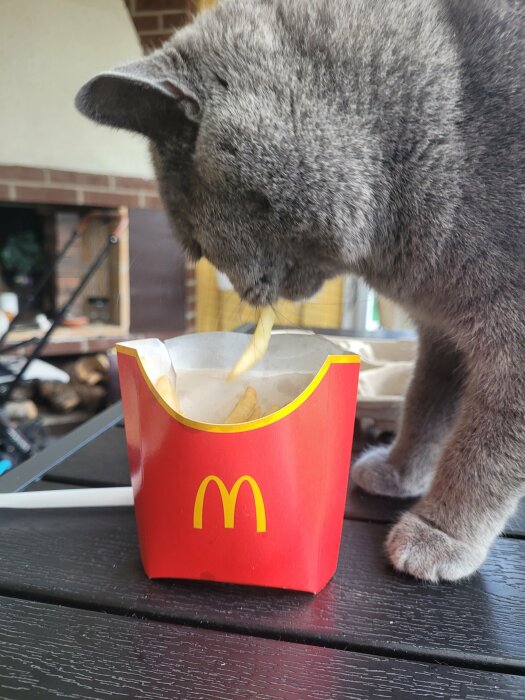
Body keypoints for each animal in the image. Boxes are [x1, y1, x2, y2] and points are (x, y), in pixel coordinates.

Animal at [74, 0, 524, 580]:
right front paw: (400, 472)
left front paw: (439, 535)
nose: (243, 290)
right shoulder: (441, 328)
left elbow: (485, 447)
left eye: (197, 241)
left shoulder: (510, 332)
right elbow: (425, 403)